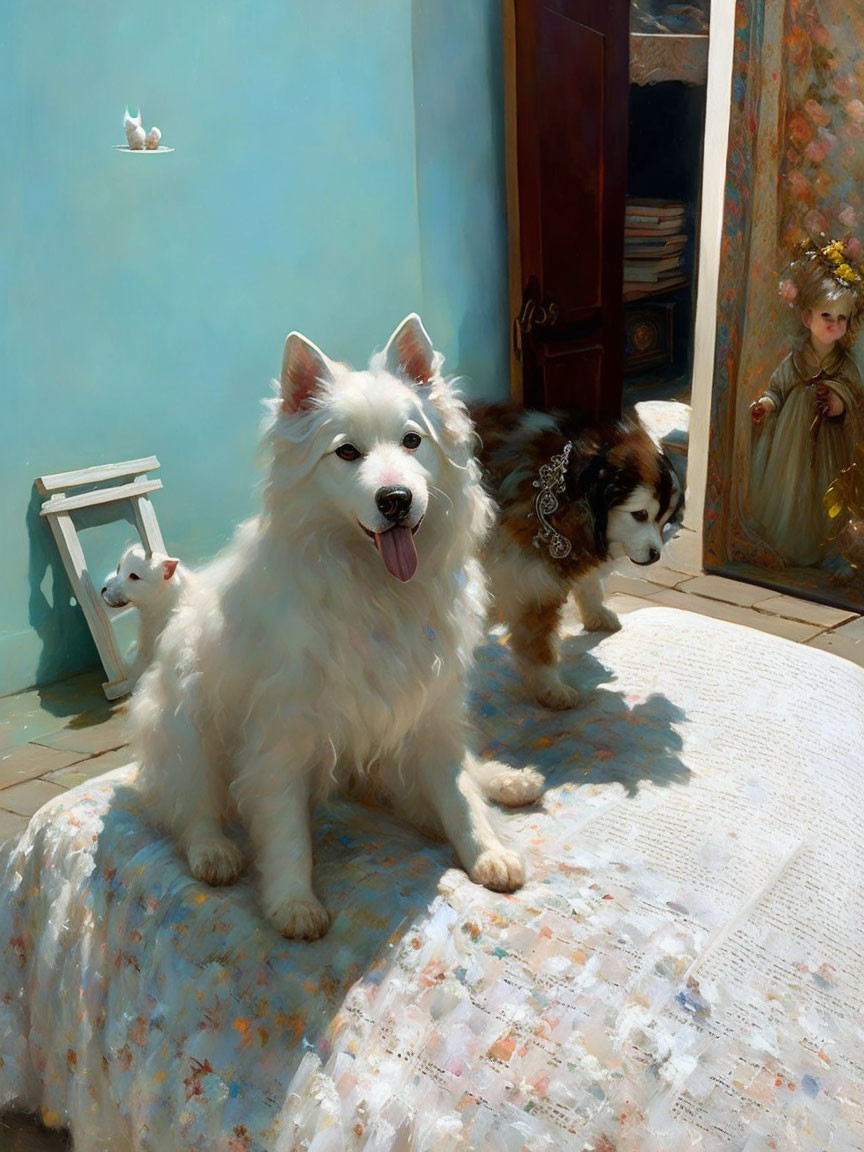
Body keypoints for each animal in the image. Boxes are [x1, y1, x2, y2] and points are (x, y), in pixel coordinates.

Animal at [130, 313, 541, 935]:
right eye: (346, 452)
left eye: (413, 441)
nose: (396, 499)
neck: (374, 588)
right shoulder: (280, 732)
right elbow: (285, 829)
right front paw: (293, 901)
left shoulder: (431, 710)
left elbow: (459, 795)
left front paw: (486, 850)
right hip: (184, 724)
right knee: (190, 807)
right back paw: (213, 852)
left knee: (462, 773)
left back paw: (509, 782)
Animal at [474, 405, 681, 709]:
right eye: (640, 515)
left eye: (664, 520)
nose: (655, 554)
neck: (570, 487)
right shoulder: (530, 576)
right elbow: (538, 640)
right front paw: (549, 687)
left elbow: (590, 583)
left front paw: (596, 613)